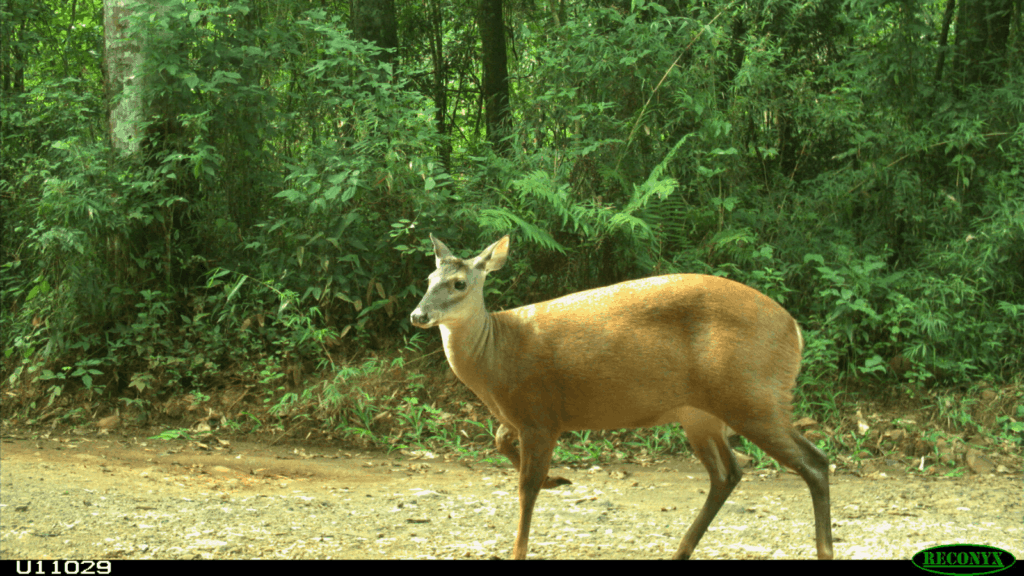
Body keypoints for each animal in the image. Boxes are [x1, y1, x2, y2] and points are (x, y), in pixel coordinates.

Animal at [407, 231, 831, 557]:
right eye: (427, 278)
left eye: (459, 283)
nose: (418, 315)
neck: (496, 356)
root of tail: (795, 330)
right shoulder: (523, 417)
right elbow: (499, 441)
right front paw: (559, 480)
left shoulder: (540, 414)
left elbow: (526, 488)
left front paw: (520, 547)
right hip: (703, 413)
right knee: (728, 473)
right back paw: (680, 550)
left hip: (754, 394)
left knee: (814, 461)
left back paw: (824, 549)